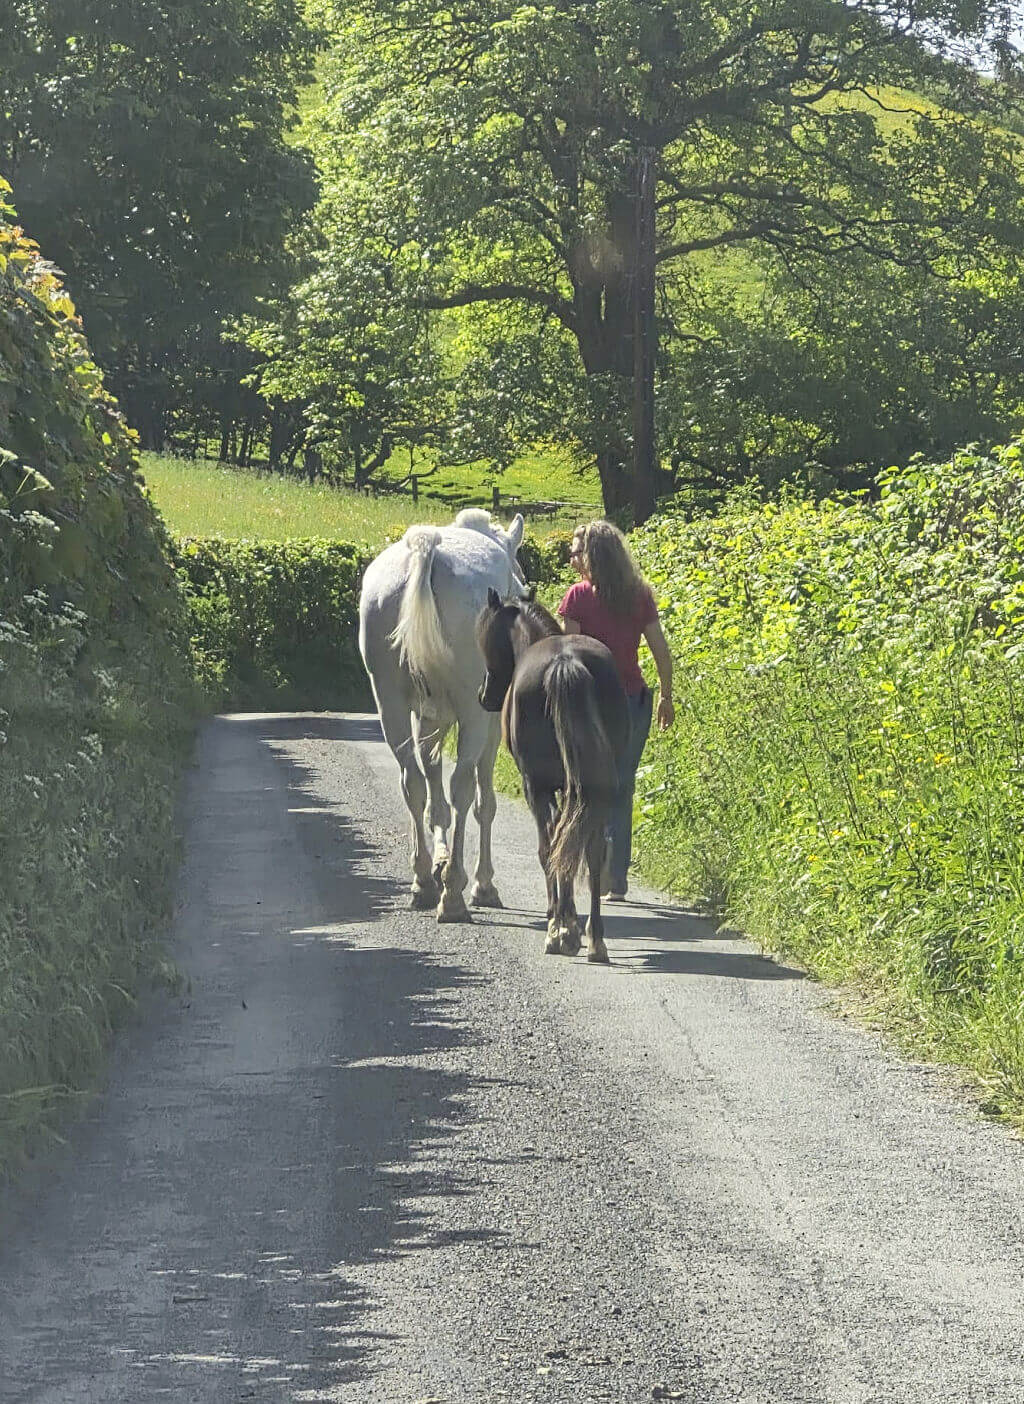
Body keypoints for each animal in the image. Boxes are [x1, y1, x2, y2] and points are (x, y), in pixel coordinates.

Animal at [359, 509, 526, 921]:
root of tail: (426, 549)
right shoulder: (487, 725)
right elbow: (483, 802)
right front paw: (480, 883)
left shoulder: (428, 720)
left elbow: (435, 800)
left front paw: (439, 862)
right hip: (472, 714)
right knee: (462, 789)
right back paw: (452, 894)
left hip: (390, 704)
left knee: (413, 783)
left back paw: (423, 882)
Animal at [476, 589, 629, 962]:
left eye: (485, 637)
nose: (484, 695)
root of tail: (565, 662)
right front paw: (570, 921)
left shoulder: (540, 787)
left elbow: (551, 847)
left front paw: (560, 921)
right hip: (599, 787)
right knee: (591, 849)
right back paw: (595, 939)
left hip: (538, 786)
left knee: (550, 844)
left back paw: (558, 931)